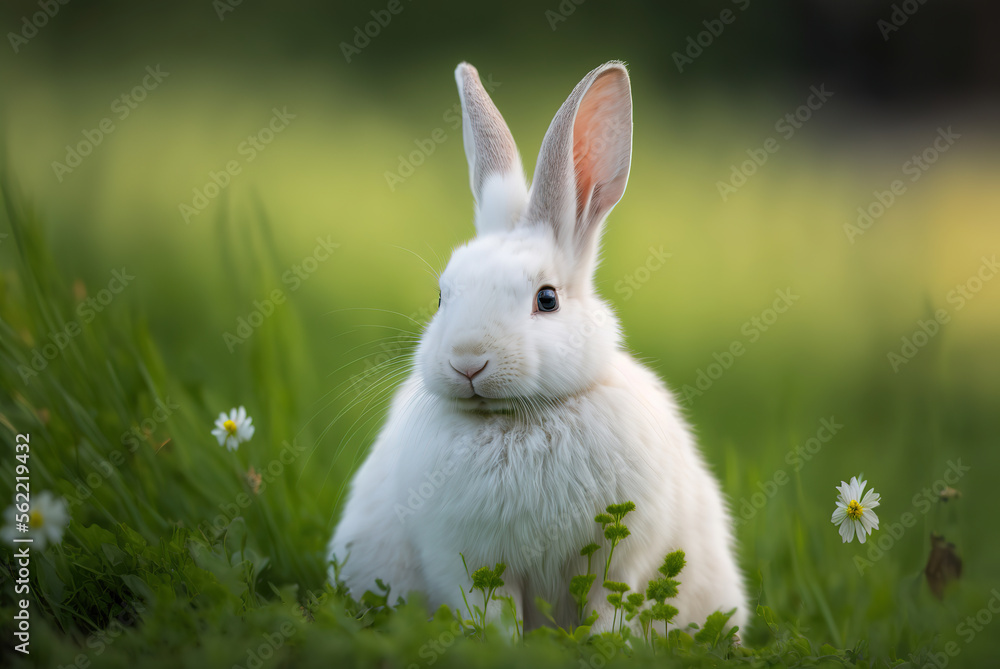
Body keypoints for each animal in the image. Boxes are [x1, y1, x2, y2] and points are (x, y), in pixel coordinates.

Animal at [328, 61, 747, 634]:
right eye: (441, 296)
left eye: (546, 299)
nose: (468, 362)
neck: (517, 418)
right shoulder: (467, 561)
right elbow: (493, 617)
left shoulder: (619, 560)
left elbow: (607, 611)